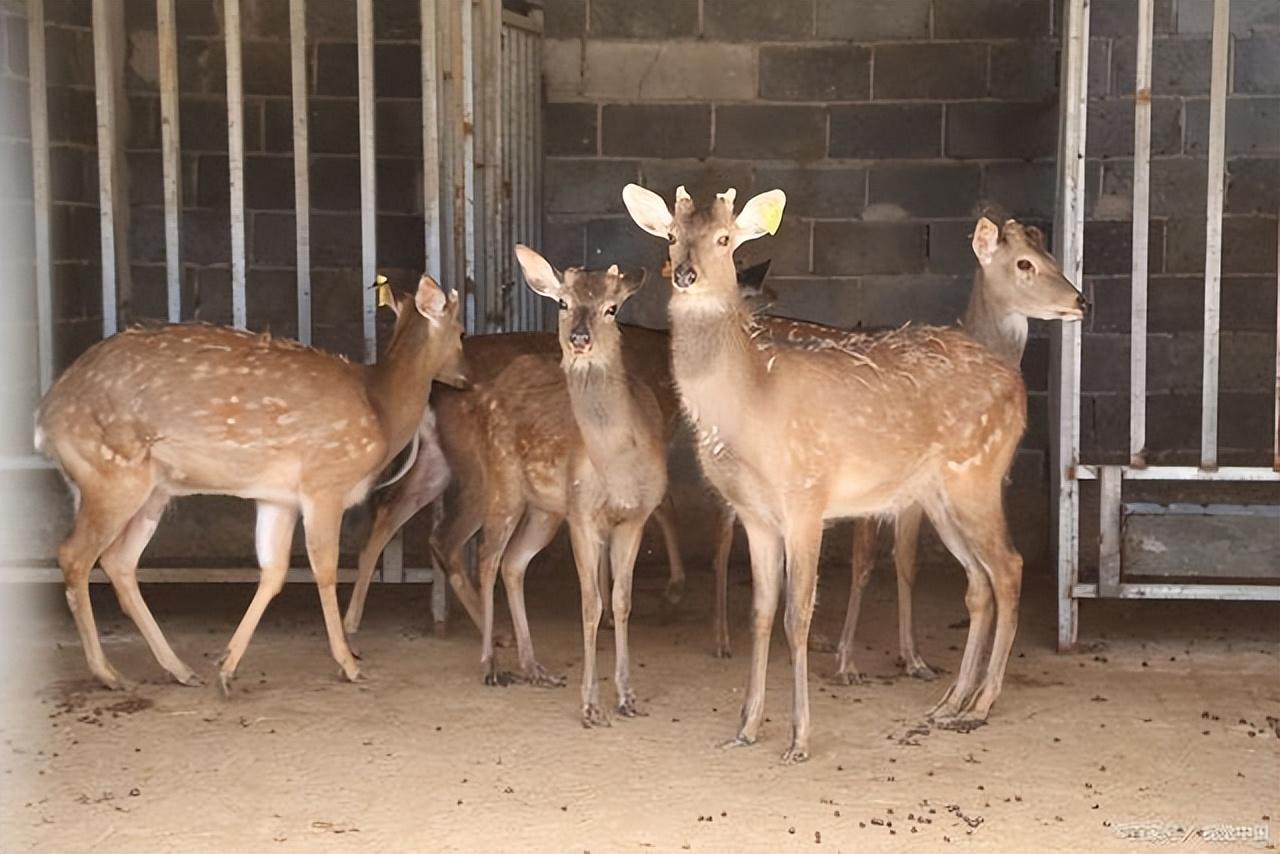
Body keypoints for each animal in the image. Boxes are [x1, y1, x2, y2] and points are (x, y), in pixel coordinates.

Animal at [35, 277, 471, 691]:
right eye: (462, 331)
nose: (466, 380)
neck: (381, 411)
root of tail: (45, 422)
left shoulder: (277, 498)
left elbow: (273, 572)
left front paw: (227, 667)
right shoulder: (324, 482)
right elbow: (325, 569)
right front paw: (348, 664)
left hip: (153, 491)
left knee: (119, 561)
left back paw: (180, 669)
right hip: (111, 475)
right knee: (75, 556)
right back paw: (109, 674)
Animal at [627, 181, 1029, 763]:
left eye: (725, 240)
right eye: (672, 237)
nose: (685, 274)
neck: (750, 407)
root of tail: (1019, 390)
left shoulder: (805, 496)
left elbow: (797, 616)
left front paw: (799, 738)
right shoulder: (755, 515)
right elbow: (761, 613)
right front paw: (746, 726)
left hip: (978, 475)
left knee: (1010, 567)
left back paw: (980, 704)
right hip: (938, 496)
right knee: (979, 577)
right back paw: (950, 702)